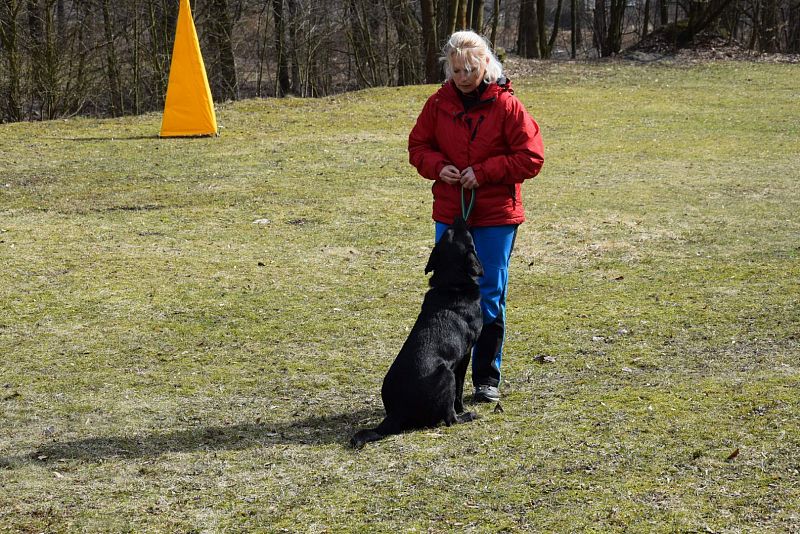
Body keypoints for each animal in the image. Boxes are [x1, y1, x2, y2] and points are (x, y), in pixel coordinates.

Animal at [348, 219, 482, 452]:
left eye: (447, 233)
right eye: (463, 234)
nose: (459, 218)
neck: (451, 283)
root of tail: (397, 411)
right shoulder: (465, 354)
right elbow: (460, 388)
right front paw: (463, 407)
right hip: (446, 373)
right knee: (450, 419)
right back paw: (468, 416)